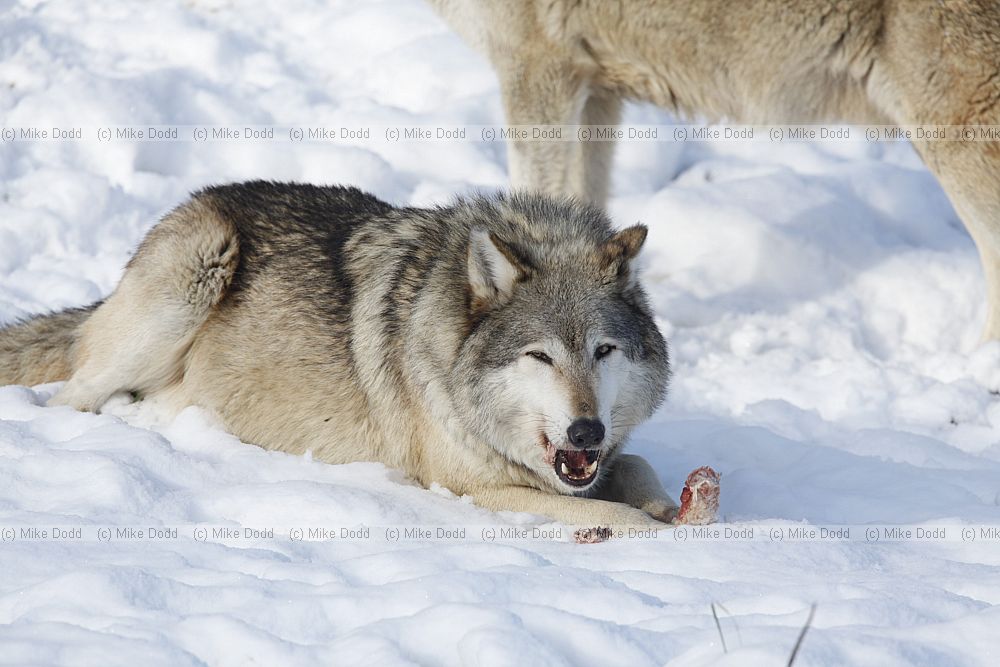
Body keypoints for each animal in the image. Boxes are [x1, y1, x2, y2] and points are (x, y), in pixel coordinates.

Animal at [0, 181, 679, 528]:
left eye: (603, 350)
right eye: (540, 357)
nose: (586, 430)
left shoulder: (598, 462)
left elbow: (640, 468)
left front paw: (677, 508)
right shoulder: (469, 485)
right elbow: (623, 520)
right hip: (192, 273)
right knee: (68, 401)